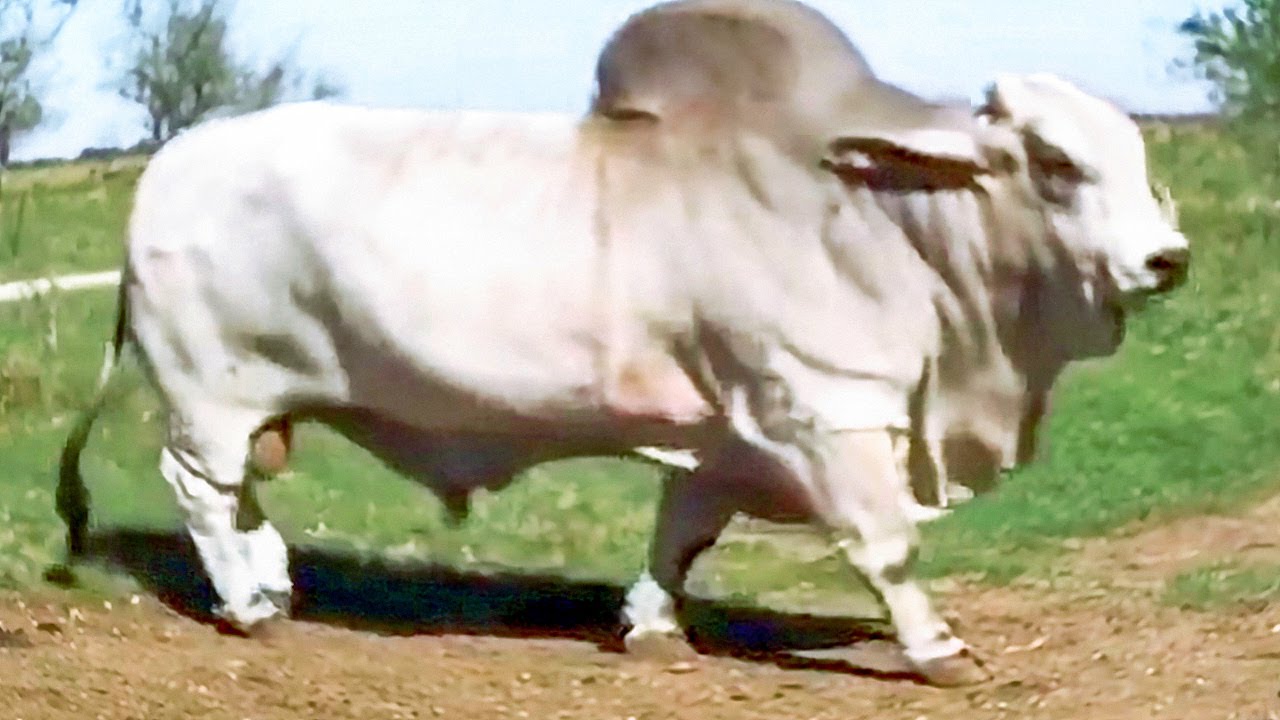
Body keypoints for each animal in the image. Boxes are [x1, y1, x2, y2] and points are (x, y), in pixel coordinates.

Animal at [57, 0, 1188, 687]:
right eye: (1055, 162)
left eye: (1135, 154)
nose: (1166, 257)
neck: (879, 214)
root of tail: (167, 168)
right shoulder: (827, 412)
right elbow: (888, 546)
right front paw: (938, 647)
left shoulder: (726, 431)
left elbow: (678, 536)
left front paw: (648, 626)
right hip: (208, 394)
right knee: (201, 488)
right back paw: (249, 605)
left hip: (252, 399)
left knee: (240, 493)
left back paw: (273, 584)